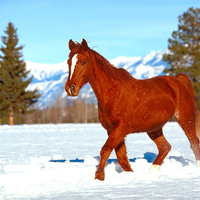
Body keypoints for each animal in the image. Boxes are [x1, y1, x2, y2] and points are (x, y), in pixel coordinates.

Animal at [65, 38, 200, 180]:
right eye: (68, 62)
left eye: (84, 62)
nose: (70, 88)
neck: (113, 93)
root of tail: (179, 81)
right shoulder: (112, 130)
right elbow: (121, 158)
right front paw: (130, 175)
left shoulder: (120, 129)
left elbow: (105, 150)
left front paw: (99, 176)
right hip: (154, 128)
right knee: (165, 146)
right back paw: (152, 170)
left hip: (185, 119)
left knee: (194, 143)